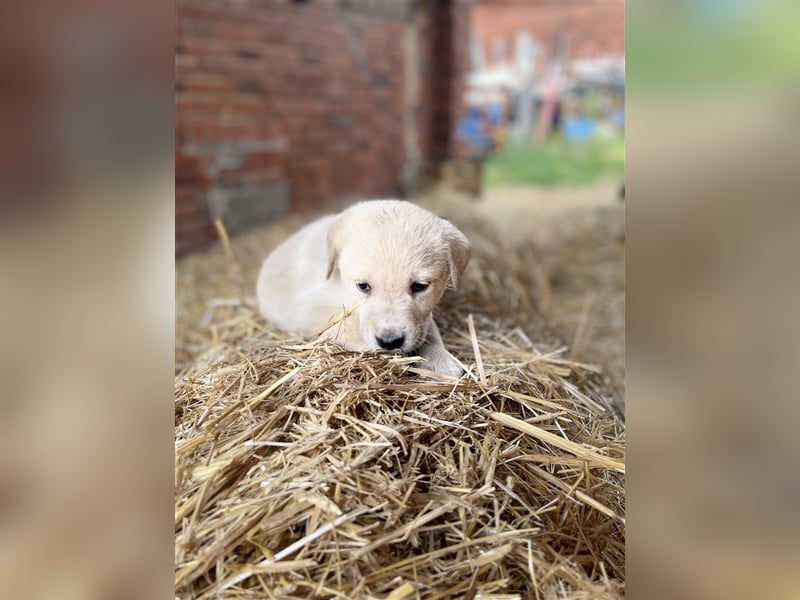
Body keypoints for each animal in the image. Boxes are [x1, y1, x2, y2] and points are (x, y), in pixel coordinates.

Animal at [256, 200, 468, 376]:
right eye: (363, 286)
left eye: (419, 286)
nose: (390, 342)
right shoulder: (305, 306)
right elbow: (343, 323)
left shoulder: (423, 316)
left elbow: (429, 330)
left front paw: (439, 360)